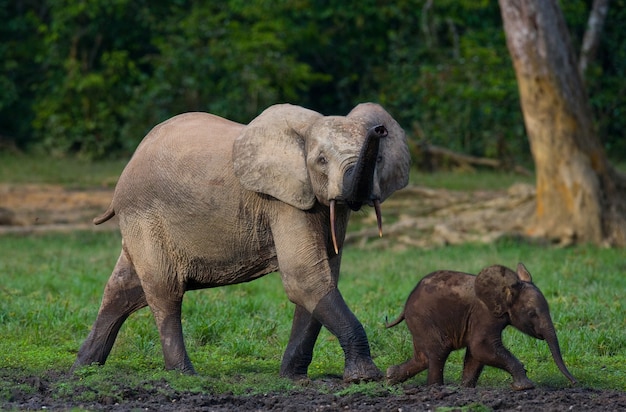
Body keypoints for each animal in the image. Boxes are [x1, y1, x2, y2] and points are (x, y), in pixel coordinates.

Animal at [72, 103, 410, 384]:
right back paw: (184, 375)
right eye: (321, 161)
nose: (379, 130)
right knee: (164, 289)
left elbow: (321, 278)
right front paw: (365, 378)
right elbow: (304, 278)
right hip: (144, 215)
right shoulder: (281, 200)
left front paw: (293, 379)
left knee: (124, 289)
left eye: (379, 158)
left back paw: (83, 368)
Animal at [386, 262, 576, 392]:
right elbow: (481, 347)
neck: (505, 289)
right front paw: (525, 387)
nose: (575, 382)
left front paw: (466, 389)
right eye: (531, 314)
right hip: (423, 319)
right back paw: (435, 388)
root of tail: (406, 305)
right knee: (439, 352)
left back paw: (390, 377)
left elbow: (475, 354)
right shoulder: (484, 314)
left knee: (423, 358)